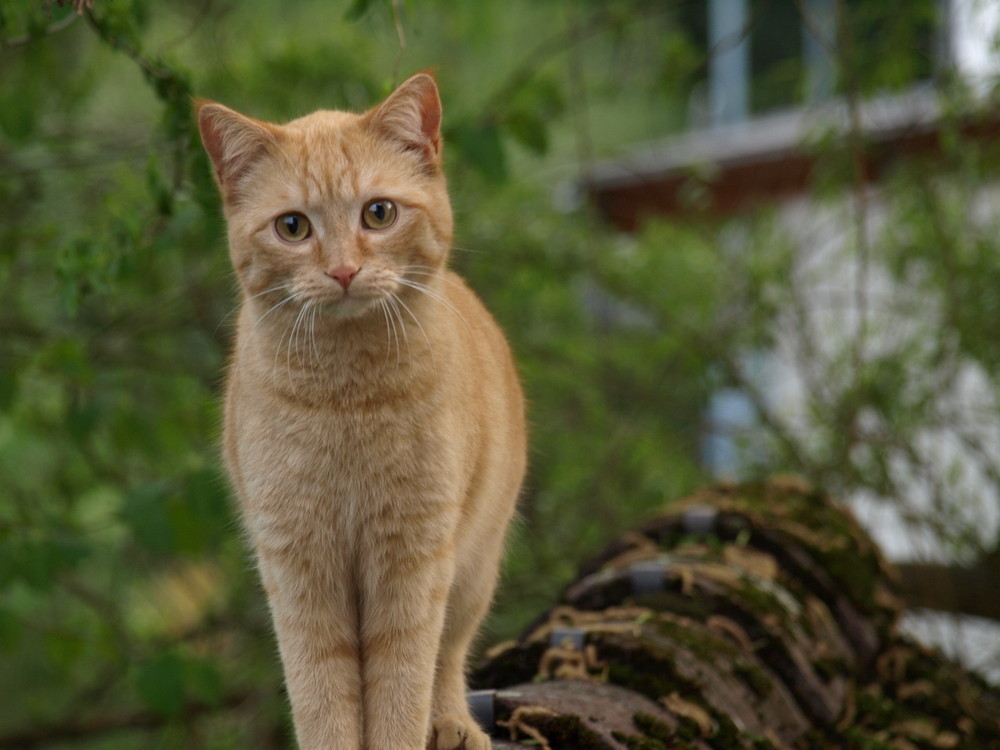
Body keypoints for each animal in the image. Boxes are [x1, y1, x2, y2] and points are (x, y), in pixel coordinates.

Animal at [193, 72, 524, 750]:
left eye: (379, 213)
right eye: (293, 227)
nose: (343, 270)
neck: (348, 401)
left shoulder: (413, 556)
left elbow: (403, 682)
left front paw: (417, 725)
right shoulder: (298, 562)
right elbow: (322, 692)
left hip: (473, 570)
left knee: (449, 657)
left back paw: (452, 724)